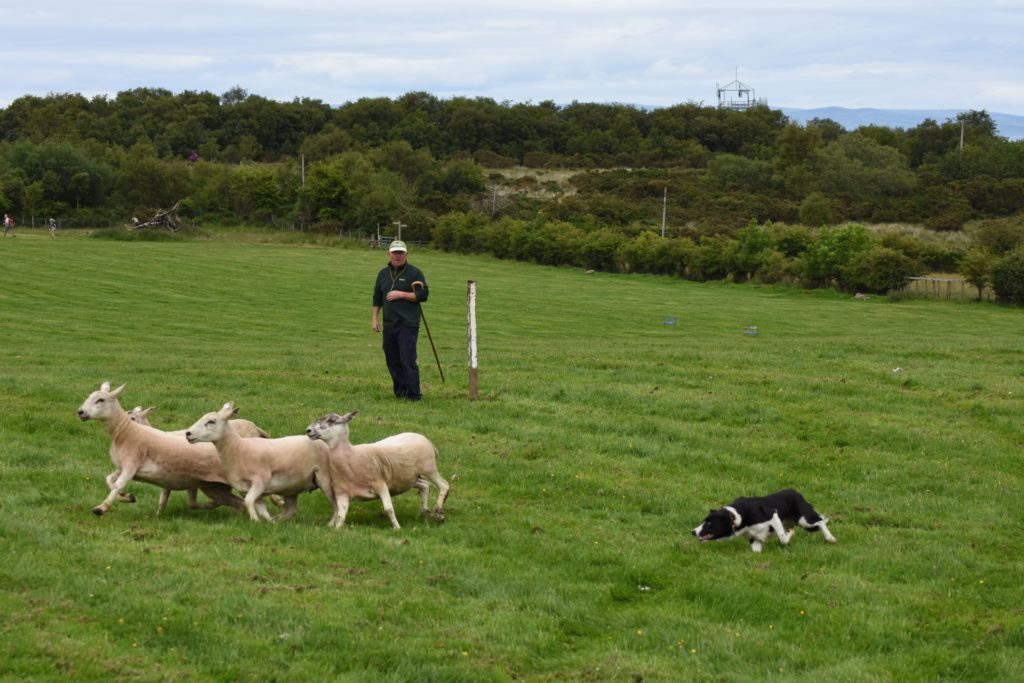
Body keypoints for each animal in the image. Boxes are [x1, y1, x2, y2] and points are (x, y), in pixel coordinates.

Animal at [75, 382, 245, 516]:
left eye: (100, 400)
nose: (80, 412)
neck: (124, 431)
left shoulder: (131, 464)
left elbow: (118, 484)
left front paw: (101, 508)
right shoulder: (122, 467)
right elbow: (109, 480)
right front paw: (127, 497)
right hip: (214, 487)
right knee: (236, 502)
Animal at [180, 401, 331, 524]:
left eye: (211, 421)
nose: (188, 433)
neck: (237, 448)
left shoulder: (260, 481)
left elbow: (248, 502)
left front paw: (254, 520)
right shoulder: (246, 489)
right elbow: (259, 507)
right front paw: (267, 522)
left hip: (323, 478)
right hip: (292, 486)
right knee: (291, 510)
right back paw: (277, 521)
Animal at [303, 411, 448, 528]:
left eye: (331, 420)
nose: (308, 430)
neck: (352, 456)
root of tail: (428, 441)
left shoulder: (380, 485)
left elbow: (389, 509)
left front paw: (397, 528)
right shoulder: (342, 492)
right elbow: (341, 514)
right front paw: (337, 529)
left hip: (428, 467)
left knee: (444, 485)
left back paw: (439, 512)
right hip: (409, 478)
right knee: (425, 485)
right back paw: (425, 510)